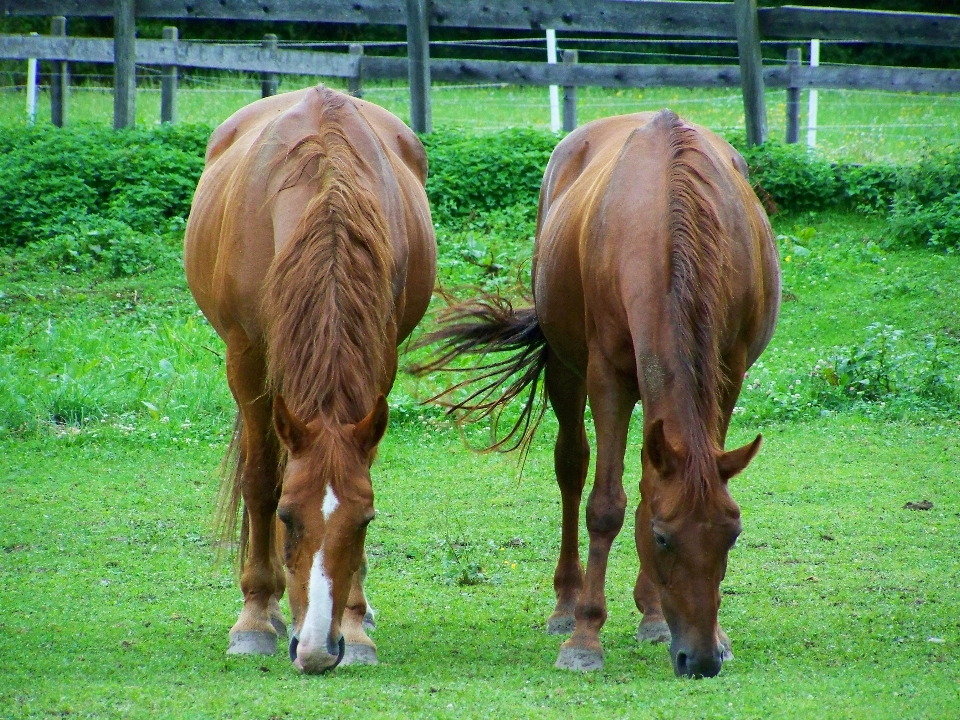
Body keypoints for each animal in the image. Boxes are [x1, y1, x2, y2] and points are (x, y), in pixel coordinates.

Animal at [183, 87, 436, 672]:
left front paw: (356, 624)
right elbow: (259, 481)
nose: (319, 650)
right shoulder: (247, 358)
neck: (326, 199)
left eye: (365, 521)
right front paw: (255, 617)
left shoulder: (380, 357)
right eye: (289, 517)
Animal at [414, 109, 780, 676]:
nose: (699, 660)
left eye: (732, 534)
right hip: (568, 371)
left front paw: (713, 634)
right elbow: (604, 506)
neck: (666, 220)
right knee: (572, 466)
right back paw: (567, 604)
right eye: (663, 538)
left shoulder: (728, 372)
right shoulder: (607, 375)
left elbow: (650, 488)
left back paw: (652, 614)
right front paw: (585, 638)